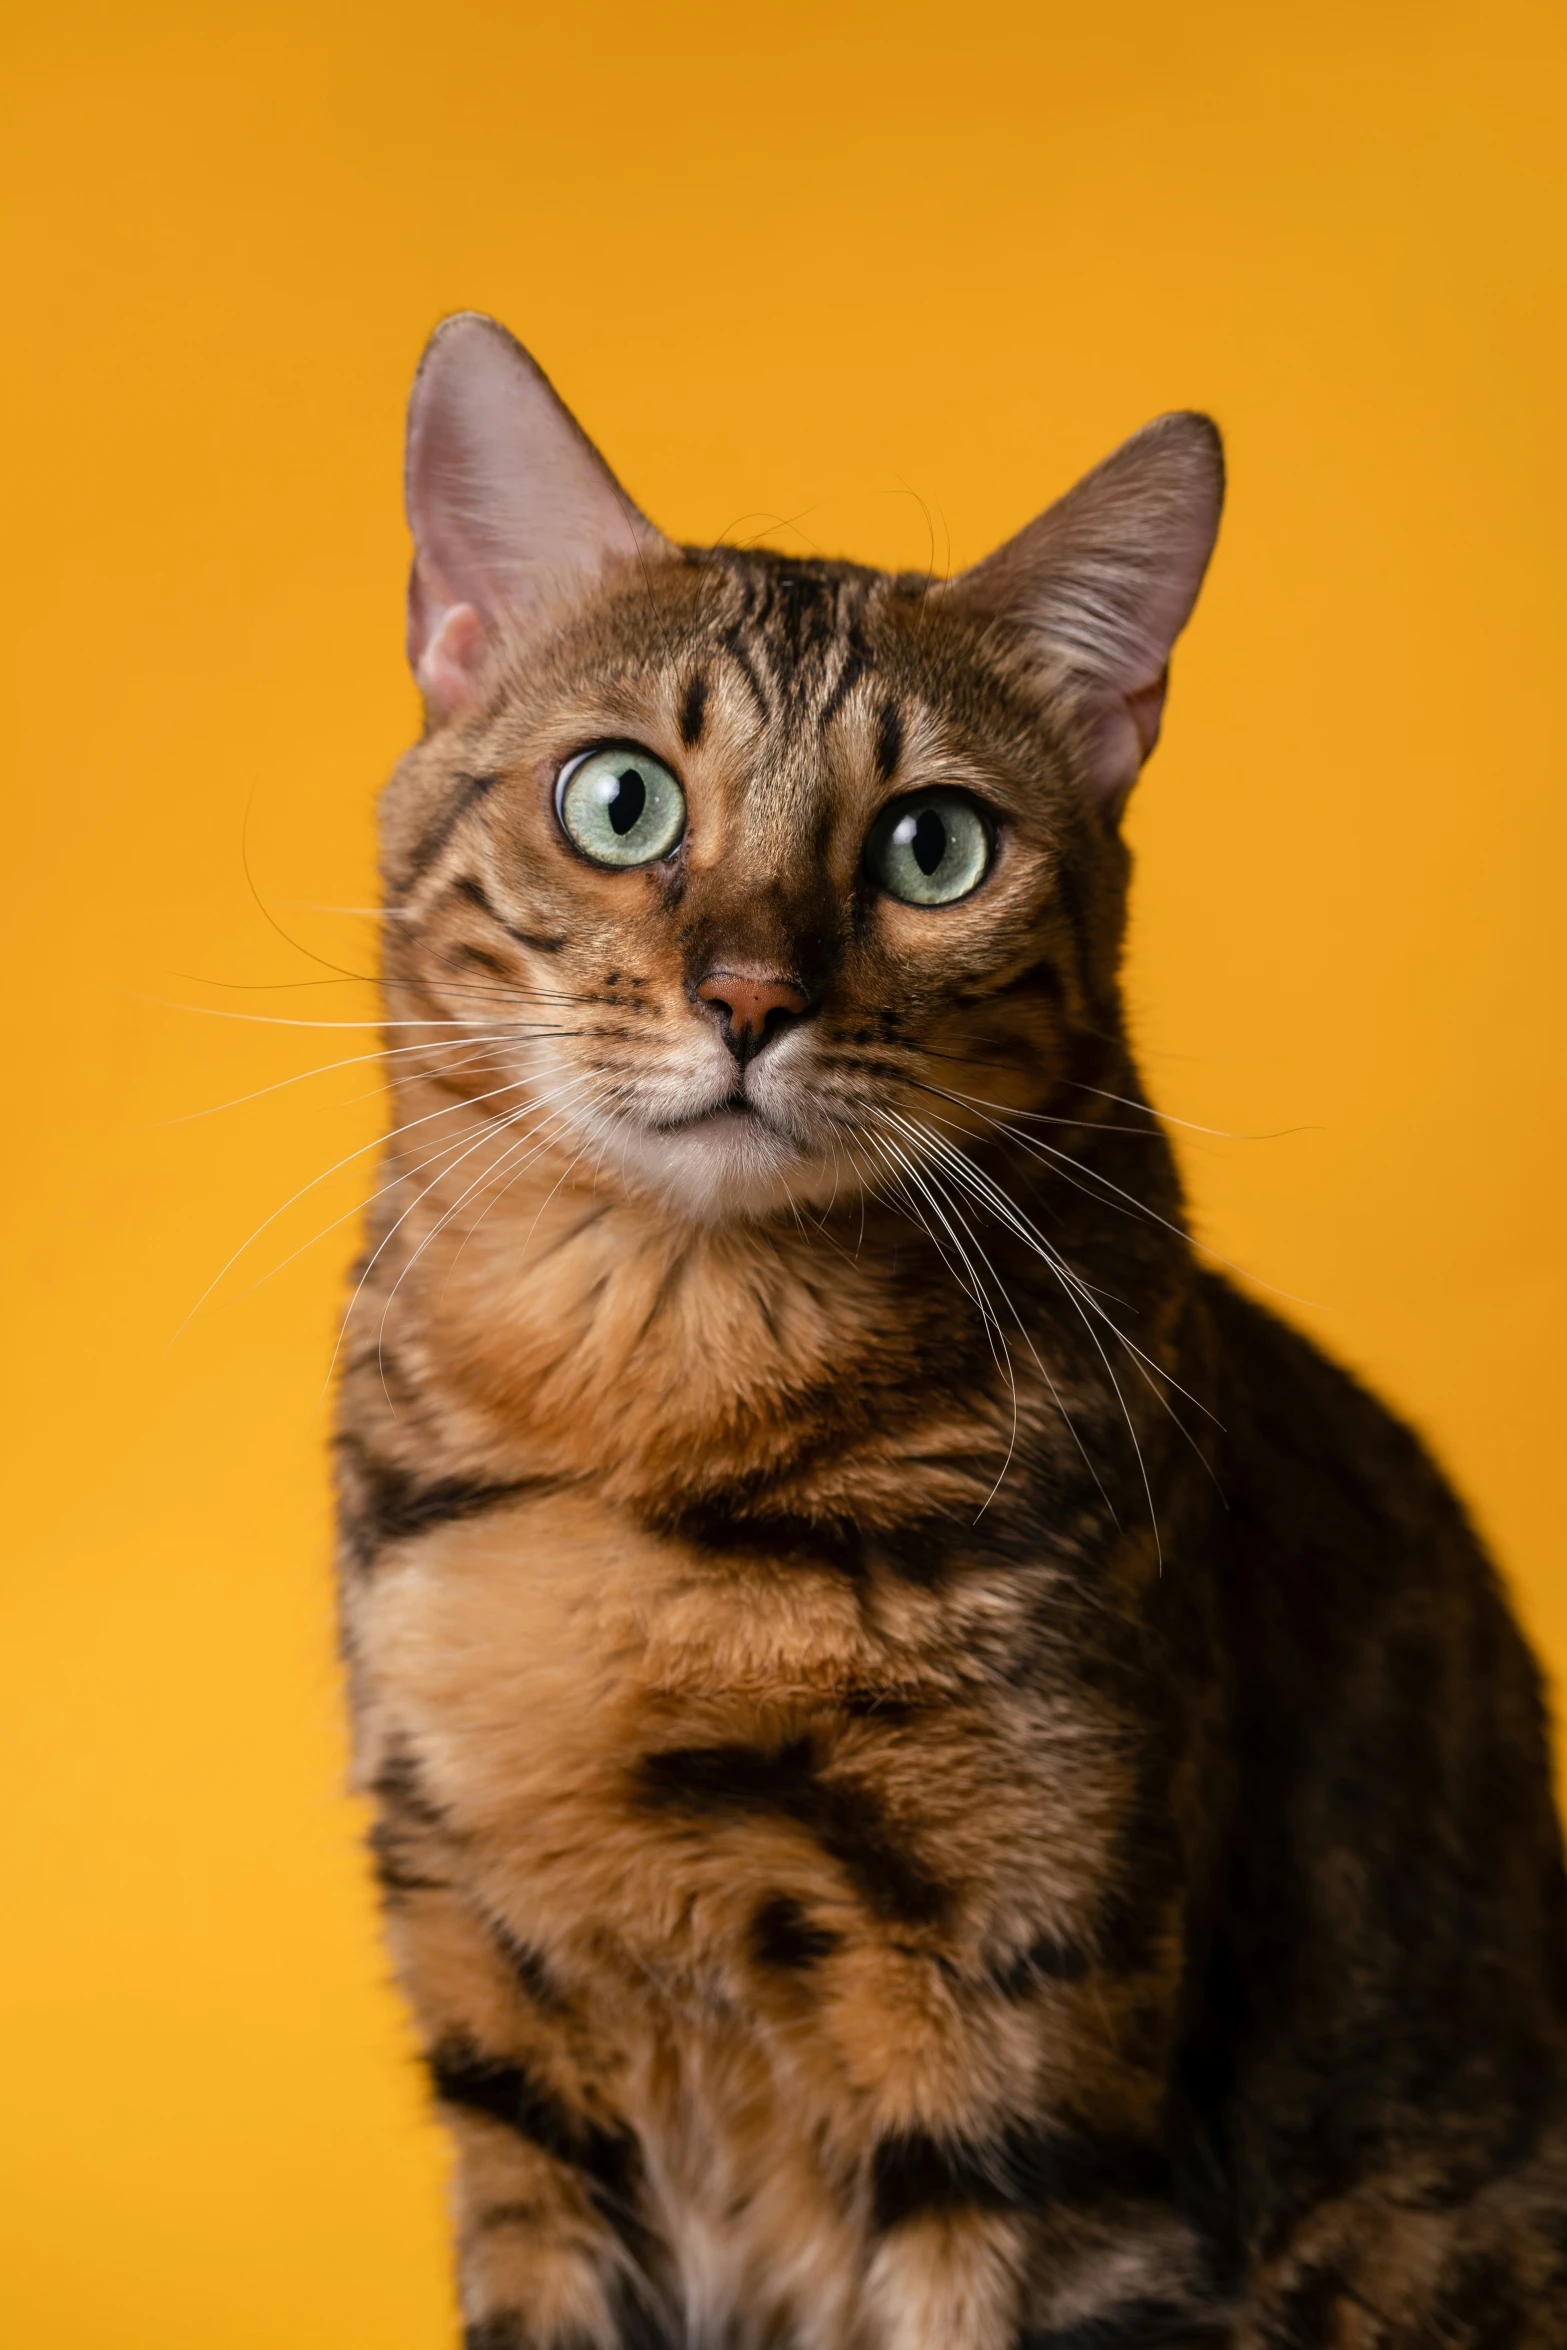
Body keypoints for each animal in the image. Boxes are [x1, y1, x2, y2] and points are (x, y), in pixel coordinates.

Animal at [338, 317, 1567, 2350]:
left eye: (931, 847)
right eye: (619, 801)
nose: (749, 995)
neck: (649, 1428)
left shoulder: (1018, 2040)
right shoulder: (506, 2040)